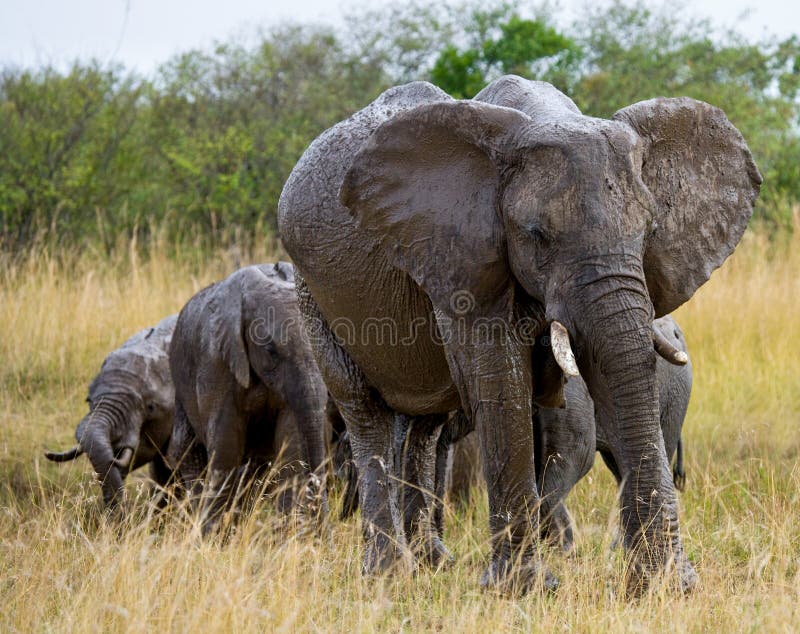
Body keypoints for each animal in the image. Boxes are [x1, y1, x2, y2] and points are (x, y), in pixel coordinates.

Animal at [167, 260, 330, 532]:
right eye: (271, 350)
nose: (323, 535)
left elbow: (291, 448)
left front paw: (283, 535)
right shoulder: (216, 362)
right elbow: (226, 447)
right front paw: (214, 537)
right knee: (186, 451)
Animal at [278, 74, 760, 592]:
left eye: (650, 229)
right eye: (536, 235)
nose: (677, 581)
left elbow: (610, 367)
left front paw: (663, 587)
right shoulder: (465, 255)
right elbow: (500, 377)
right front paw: (523, 589)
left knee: (424, 424)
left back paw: (432, 563)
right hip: (313, 293)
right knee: (365, 411)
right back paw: (389, 575)